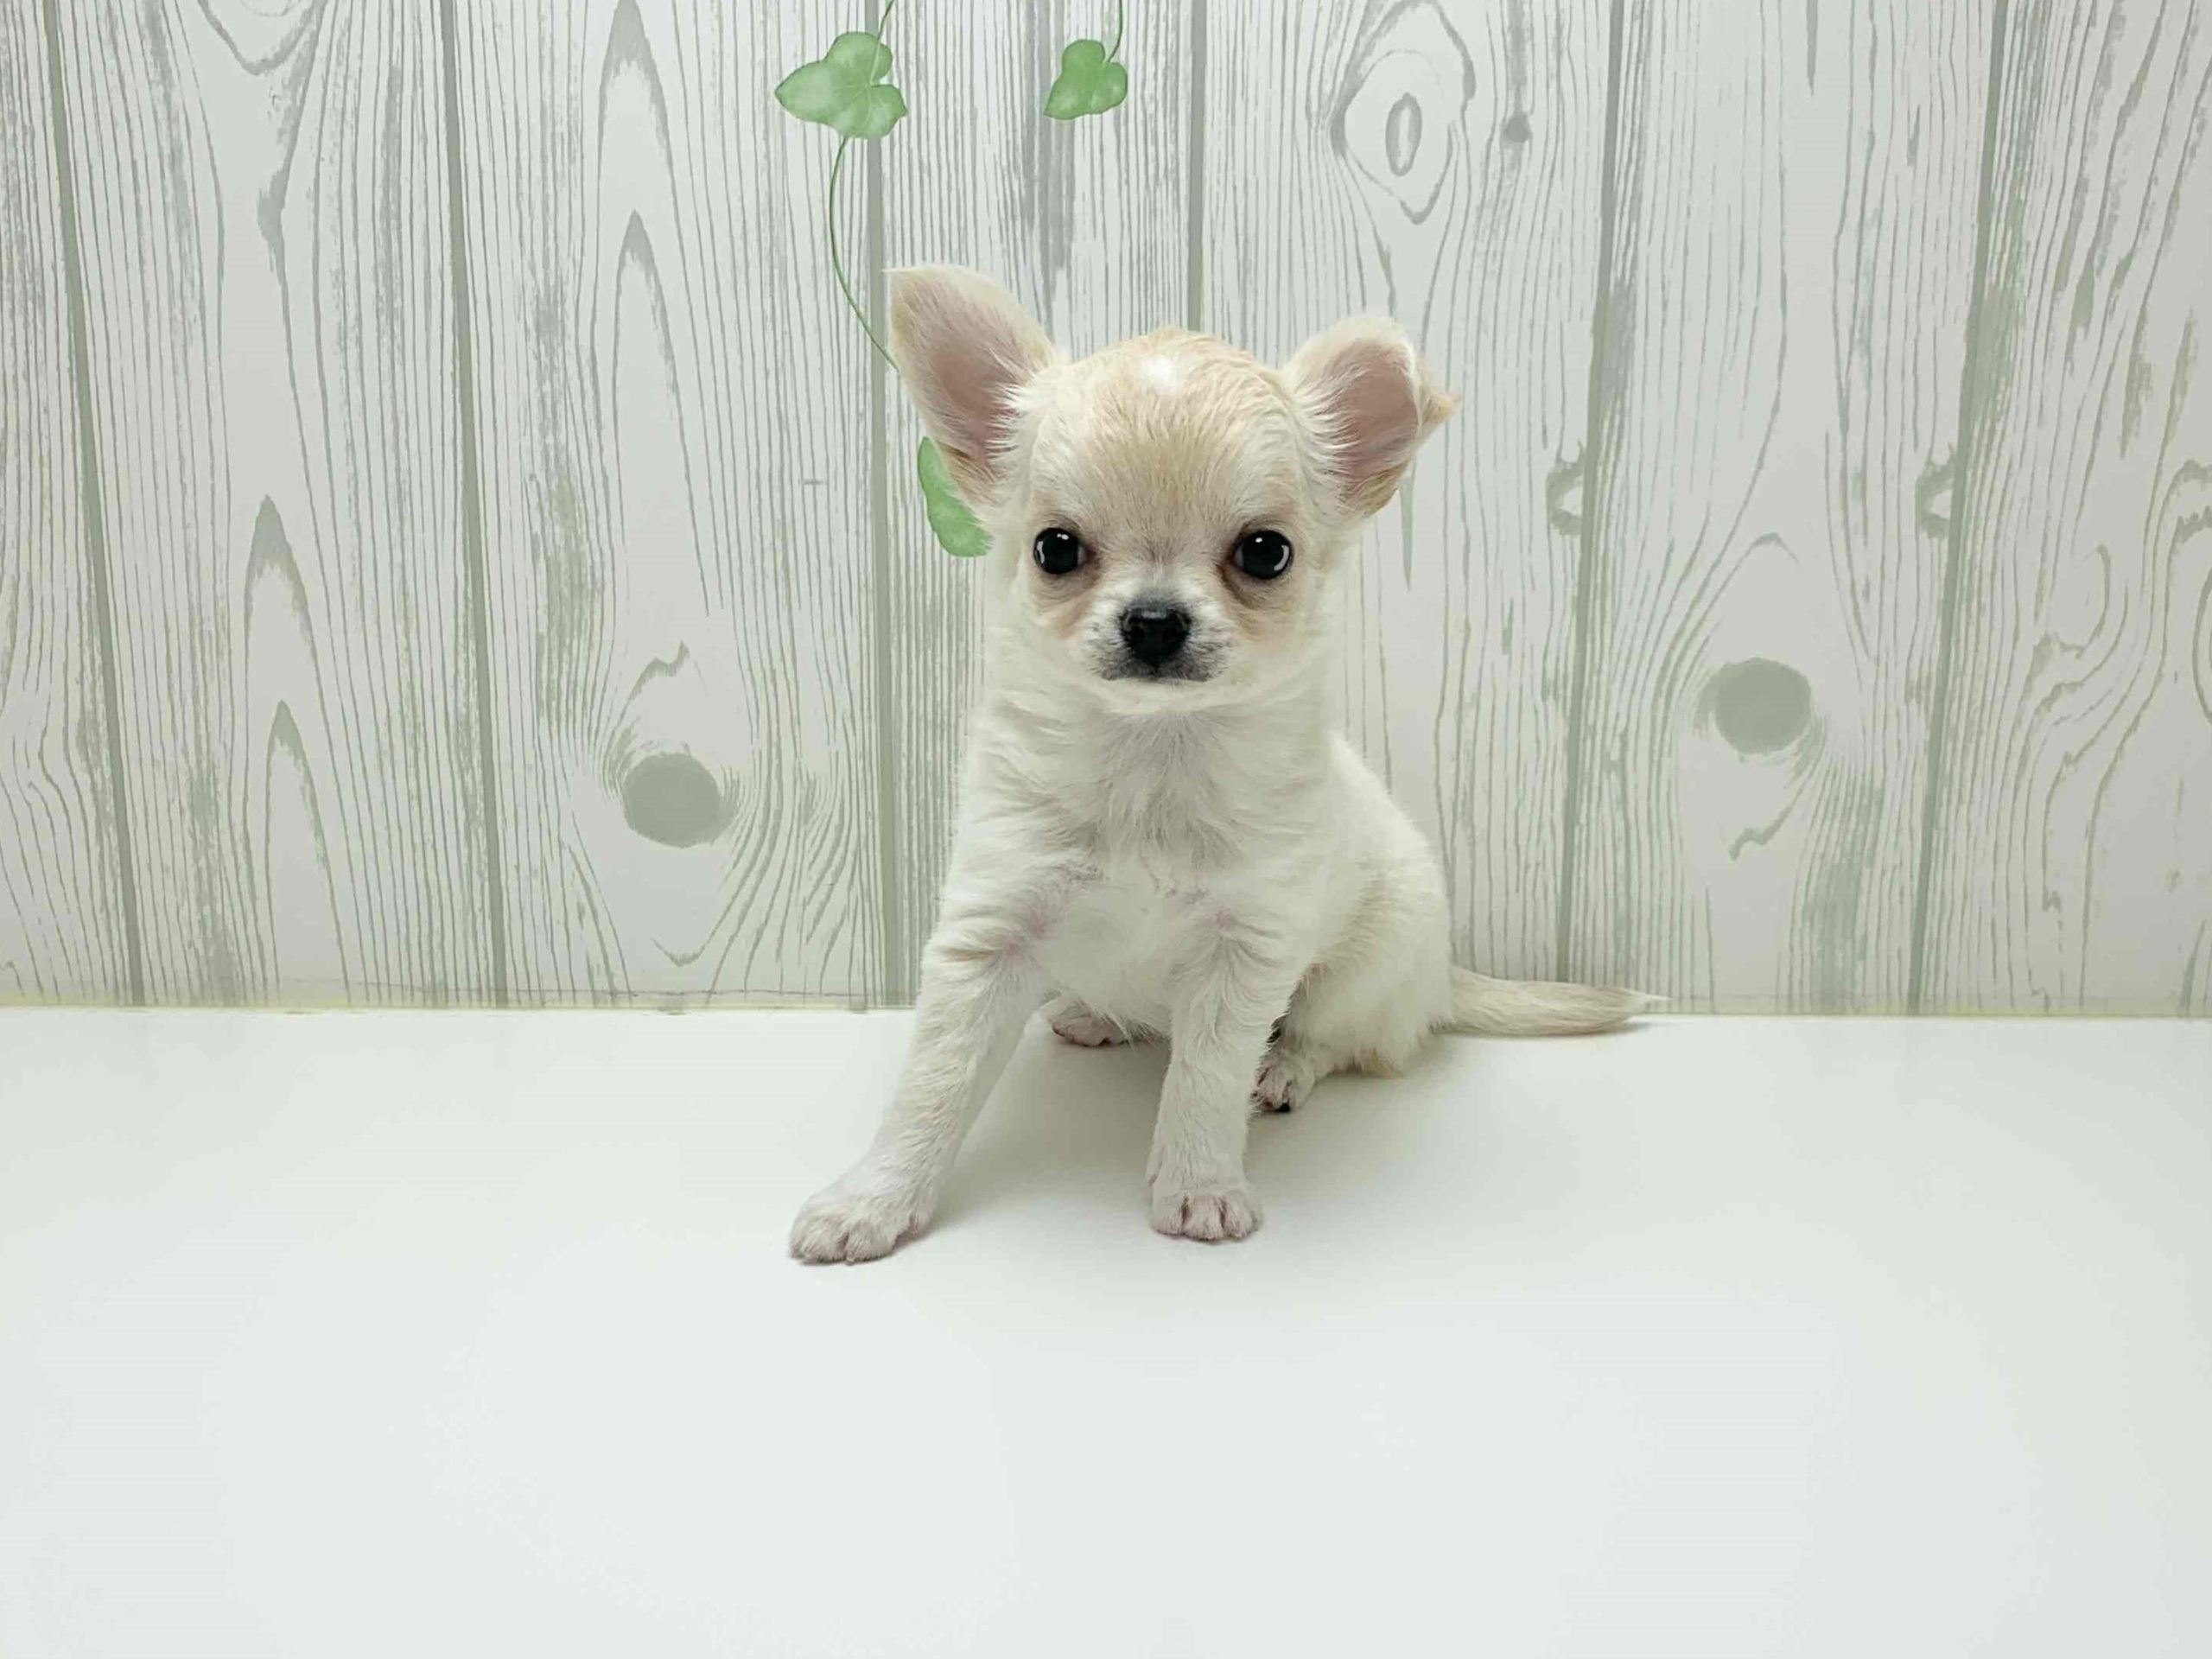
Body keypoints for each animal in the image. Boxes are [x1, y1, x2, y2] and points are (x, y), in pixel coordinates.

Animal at [790, 267, 1650, 1262]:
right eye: (1055, 549)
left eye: (1265, 553)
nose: (1155, 620)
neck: (1151, 756)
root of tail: (1444, 977)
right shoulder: (990, 934)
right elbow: (932, 1087)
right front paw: (874, 1199)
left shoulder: (1246, 952)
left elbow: (1203, 1081)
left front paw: (1198, 1188)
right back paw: (1096, 1015)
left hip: (1361, 972)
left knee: (1335, 1041)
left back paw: (1281, 1071)